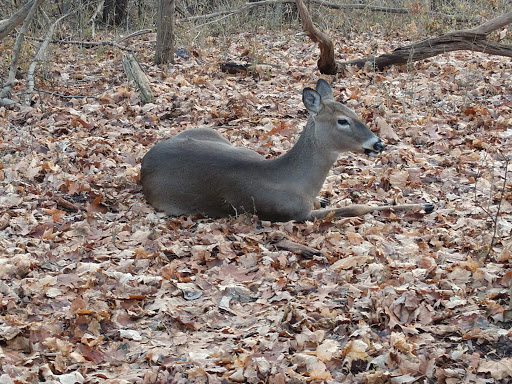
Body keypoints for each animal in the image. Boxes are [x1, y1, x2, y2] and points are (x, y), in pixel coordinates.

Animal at [140, 79, 432, 220]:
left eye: (354, 112)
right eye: (342, 120)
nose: (378, 143)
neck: (297, 183)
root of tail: (145, 161)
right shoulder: (294, 214)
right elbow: (355, 208)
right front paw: (425, 204)